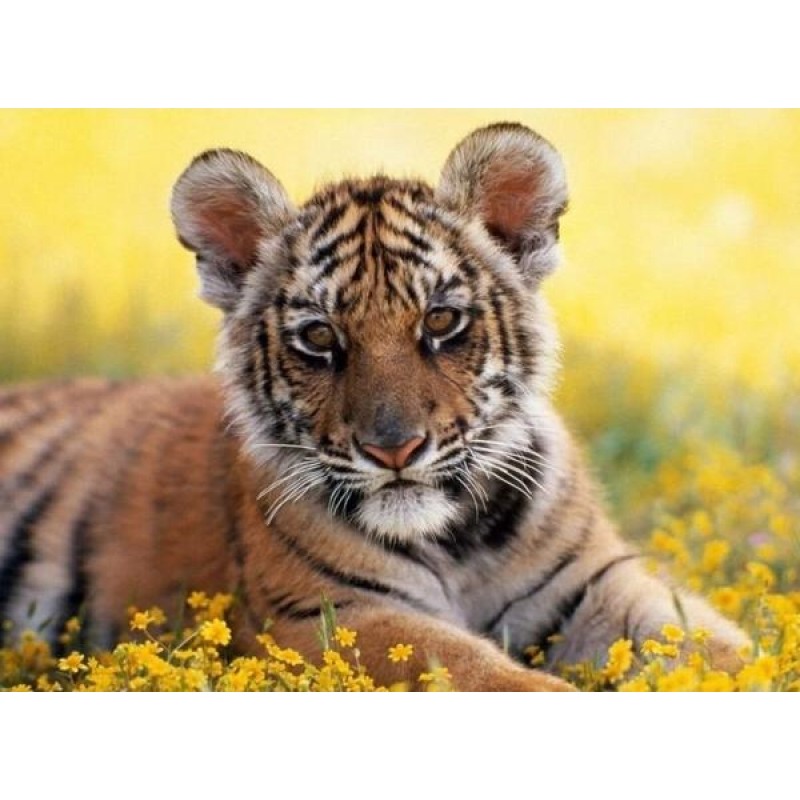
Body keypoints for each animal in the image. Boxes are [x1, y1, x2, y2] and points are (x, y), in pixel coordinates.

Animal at [0, 122, 748, 691]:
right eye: (320, 338)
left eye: (441, 321)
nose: (395, 449)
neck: (457, 541)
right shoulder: (331, 613)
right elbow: (480, 670)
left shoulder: (596, 584)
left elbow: (716, 644)